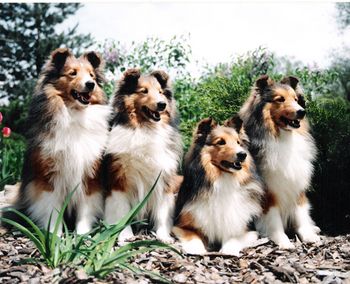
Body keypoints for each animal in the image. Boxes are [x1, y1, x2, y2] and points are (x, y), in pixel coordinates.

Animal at [13, 47, 110, 235]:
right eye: (72, 73)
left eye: (91, 75)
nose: (91, 84)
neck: (74, 114)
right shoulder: (48, 177)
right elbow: (51, 208)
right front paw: (54, 235)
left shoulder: (89, 174)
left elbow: (85, 208)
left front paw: (82, 235)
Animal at [104, 68, 182, 242]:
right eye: (144, 91)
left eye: (160, 92)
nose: (162, 104)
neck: (145, 128)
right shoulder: (119, 181)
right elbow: (122, 210)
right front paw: (125, 236)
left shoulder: (163, 180)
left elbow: (162, 212)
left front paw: (163, 236)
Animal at [172, 115, 262, 255]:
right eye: (221, 142)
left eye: (238, 142)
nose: (243, 155)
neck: (223, 178)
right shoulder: (181, 225)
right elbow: (193, 236)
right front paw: (196, 249)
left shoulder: (247, 229)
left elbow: (233, 237)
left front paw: (229, 250)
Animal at [241, 75, 320, 248]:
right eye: (280, 99)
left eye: (296, 99)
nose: (302, 112)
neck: (282, 137)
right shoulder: (268, 193)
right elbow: (273, 219)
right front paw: (283, 241)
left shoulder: (296, 185)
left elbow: (301, 214)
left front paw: (309, 235)